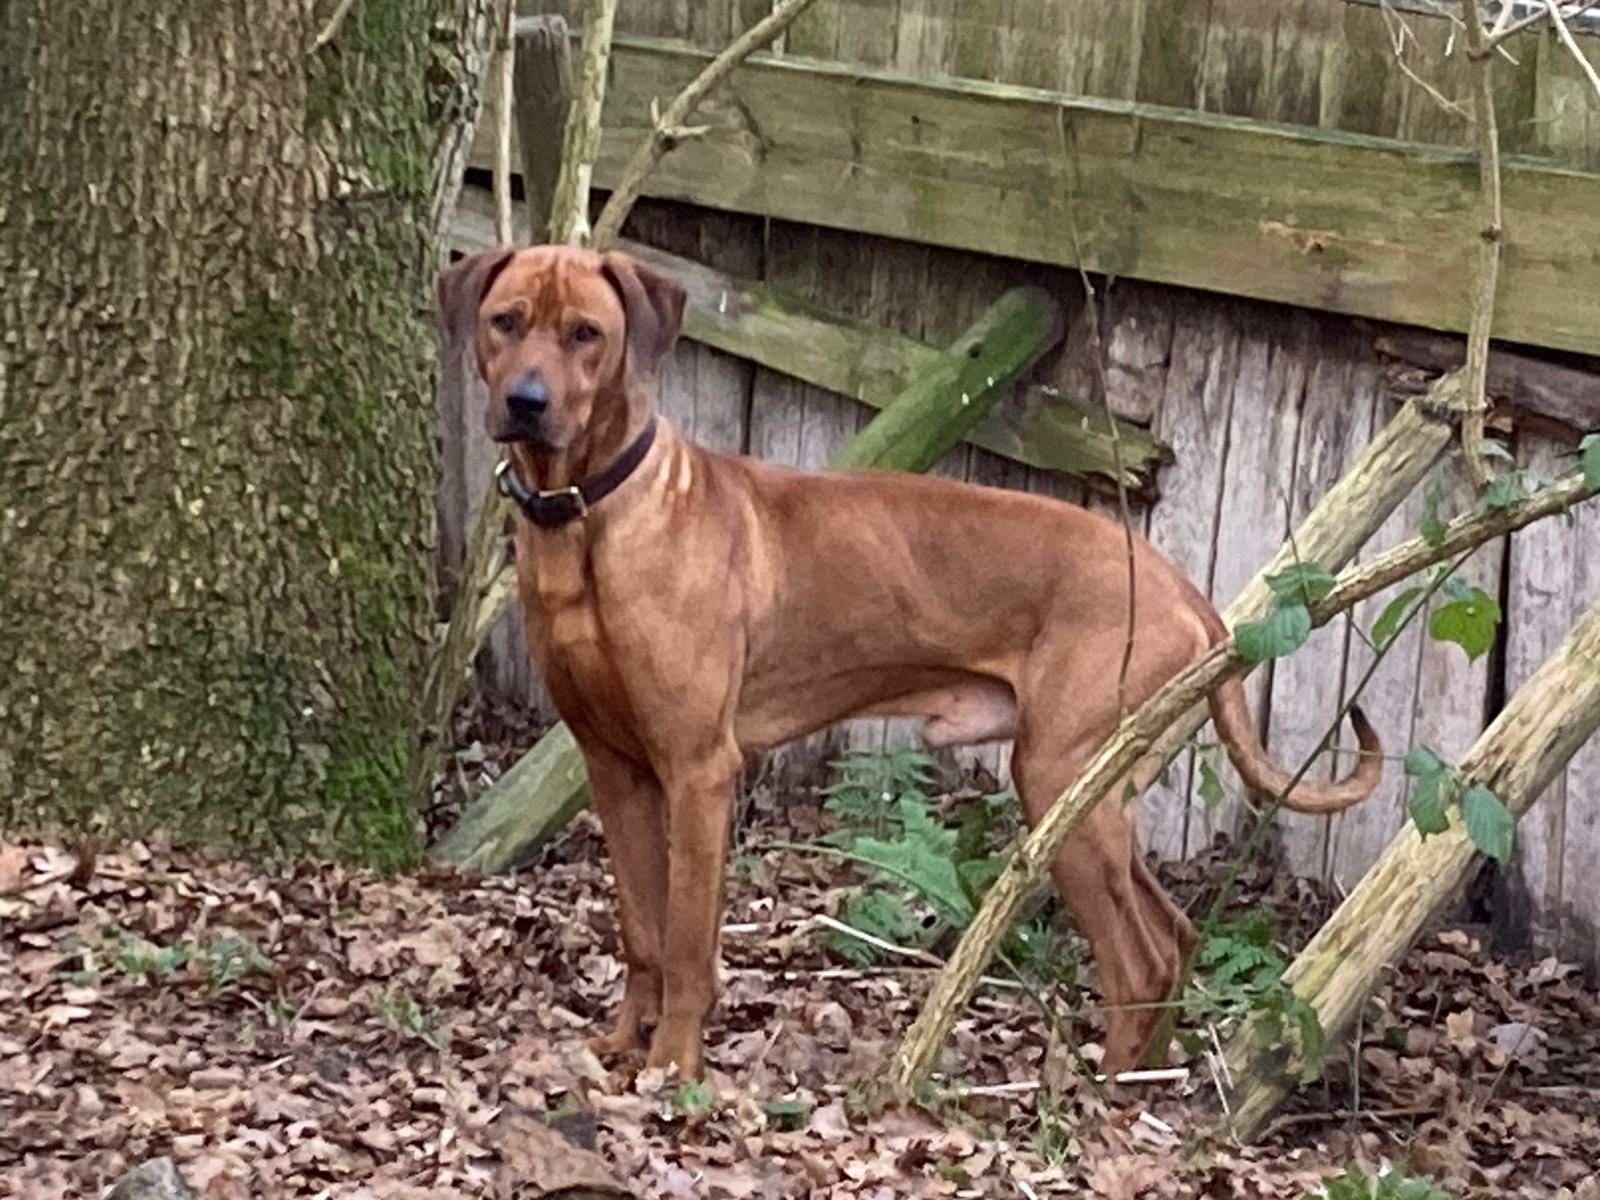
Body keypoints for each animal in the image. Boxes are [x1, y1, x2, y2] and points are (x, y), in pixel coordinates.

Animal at [436, 244, 1382, 1080]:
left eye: (586, 334)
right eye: (506, 320)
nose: (525, 401)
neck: (587, 517)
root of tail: (1184, 586)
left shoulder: (699, 769)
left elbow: (688, 939)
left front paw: (672, 1065)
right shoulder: (613, 766)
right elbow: (641, 929)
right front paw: (623, 1042)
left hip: (1060, 776)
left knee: (1138, 956)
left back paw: (1104, 1098)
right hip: (1094, 790)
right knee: (1175, 936)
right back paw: (1147, 1080)